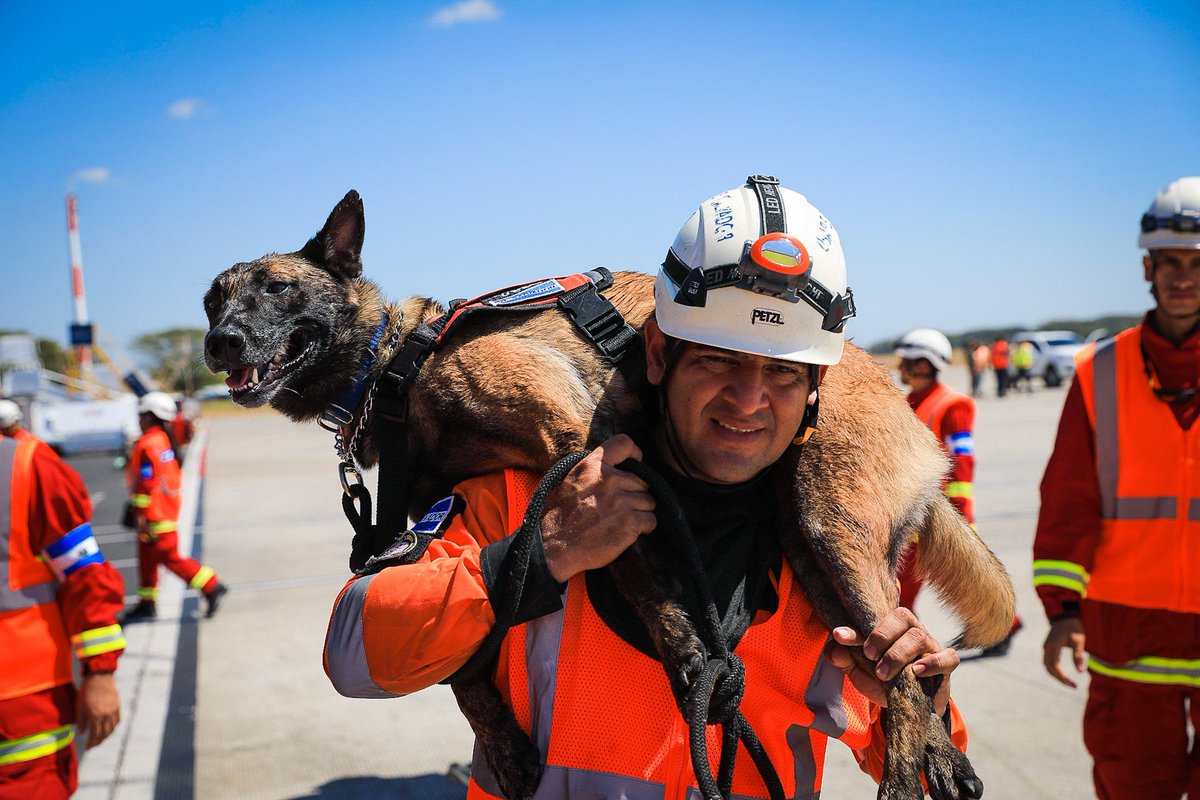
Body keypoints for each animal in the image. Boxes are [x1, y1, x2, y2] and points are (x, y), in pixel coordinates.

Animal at [208, 190, 1012, 796]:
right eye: (214, 298)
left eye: (277, 287)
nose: (219, 342)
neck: (399, 359)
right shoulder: (431, 526)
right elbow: (461, 665)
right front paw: (502, 746)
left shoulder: (581, 444)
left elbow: (639, 577)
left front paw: (686, 656)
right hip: (815, 558)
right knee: (906, 672)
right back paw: (943, 756)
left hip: (828, 528)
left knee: (901, 670)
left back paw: (910, 772)